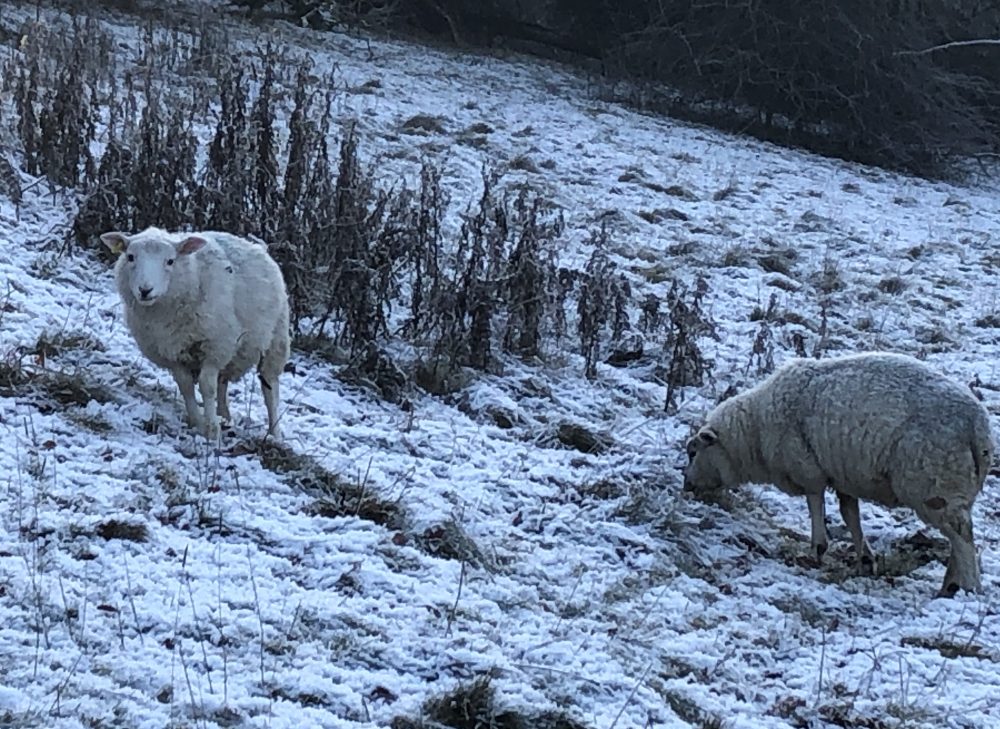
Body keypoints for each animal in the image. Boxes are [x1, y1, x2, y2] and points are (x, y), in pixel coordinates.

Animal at [101, 226, 290, 438]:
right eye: (130, 257)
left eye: (170, 261)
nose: (145, 290)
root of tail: (257, 246)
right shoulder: (170, 351)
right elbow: (185, 386)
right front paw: (199, 423)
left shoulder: (215, 346)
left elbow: (207, 386)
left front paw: (212, 431)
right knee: (222, 383)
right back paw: (224, 417)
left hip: (276, 340)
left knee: (269, 388)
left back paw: (275, 434)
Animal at [680, 352, 992, 596]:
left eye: (693, 452)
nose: (687, 486)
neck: (754, 433)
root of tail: (978, 428)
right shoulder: (843, 477)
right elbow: (849, 514)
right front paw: (865, 559)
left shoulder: (809, 471)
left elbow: (816, 506)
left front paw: (817, 550)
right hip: (954, 489)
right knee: (960, 535)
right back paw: (952, 584)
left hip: (935, 486)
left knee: (962, 536)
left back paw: (964, 588)